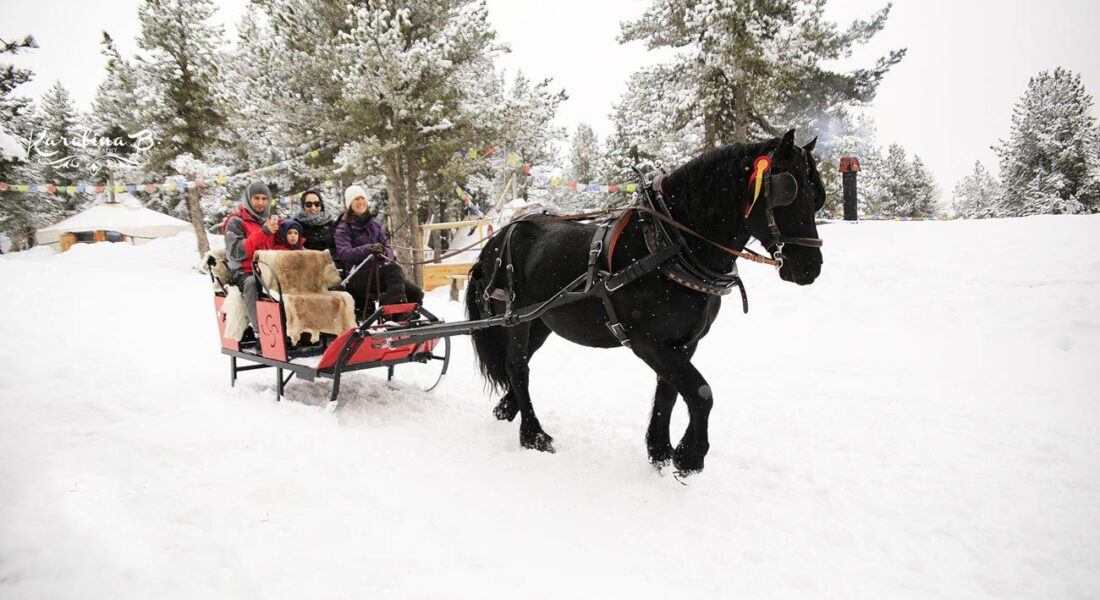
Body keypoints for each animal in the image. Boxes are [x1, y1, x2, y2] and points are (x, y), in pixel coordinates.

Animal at [464, 129, 827, 473]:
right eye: (789, 193)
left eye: (818, 198)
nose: (810, 267)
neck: (669, 245)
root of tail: (499, 237)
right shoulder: (648, 342)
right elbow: (701, 393)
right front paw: (690, 457)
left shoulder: (685, 342)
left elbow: (669, 393)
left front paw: (661, 452)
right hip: (515, 320)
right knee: (517, 367)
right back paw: (534, 435)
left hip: (540, 322)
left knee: (519, 364)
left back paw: (506, 409)